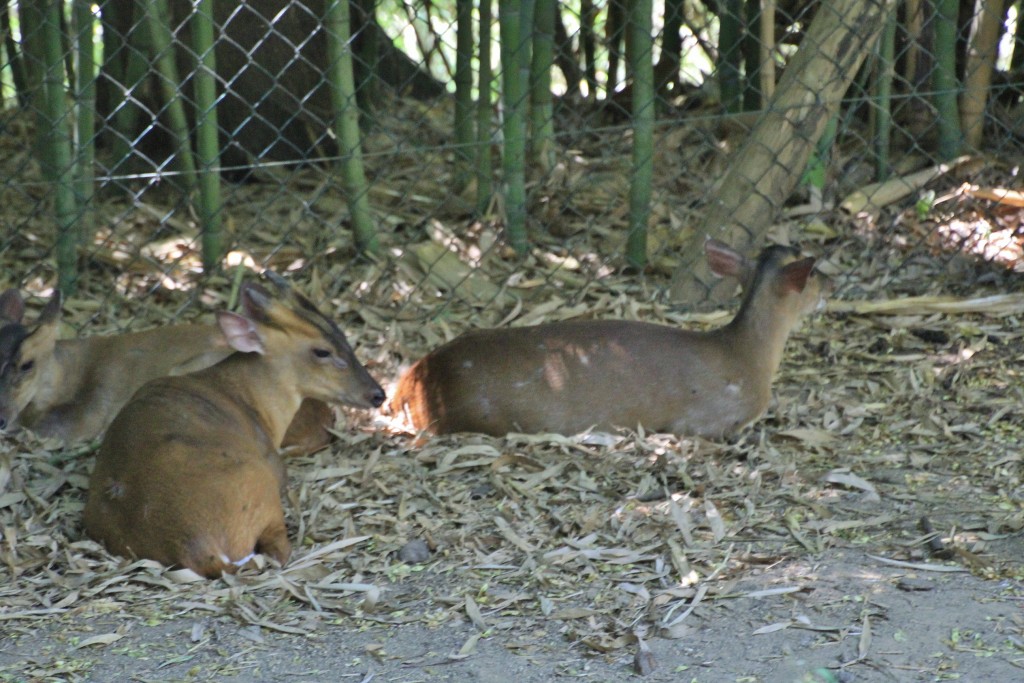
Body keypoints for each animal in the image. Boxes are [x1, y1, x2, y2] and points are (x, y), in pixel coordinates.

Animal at [81, 278, 385, 577]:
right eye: (322, 351)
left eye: (343, 336)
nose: (377, 394)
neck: (249, 399)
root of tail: (198, 549)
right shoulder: (274, 467)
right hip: (261, 486)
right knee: (277, 551)